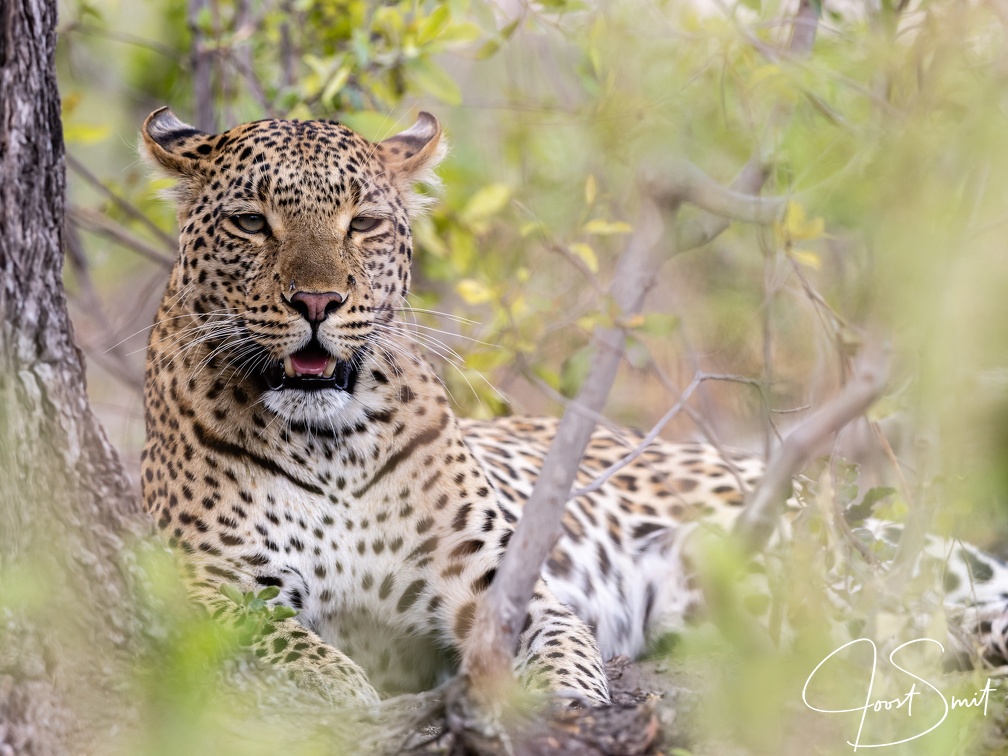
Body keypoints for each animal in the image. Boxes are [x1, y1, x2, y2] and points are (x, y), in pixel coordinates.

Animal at [139, 106, 1008, 711]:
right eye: (252, 222)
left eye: (366, 223)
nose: (317, 301)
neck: (328, 442)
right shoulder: (210, 589)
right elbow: (297, 651)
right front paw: (346, 700)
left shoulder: (495, 580)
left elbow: (560, 643)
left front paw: (571, 703)